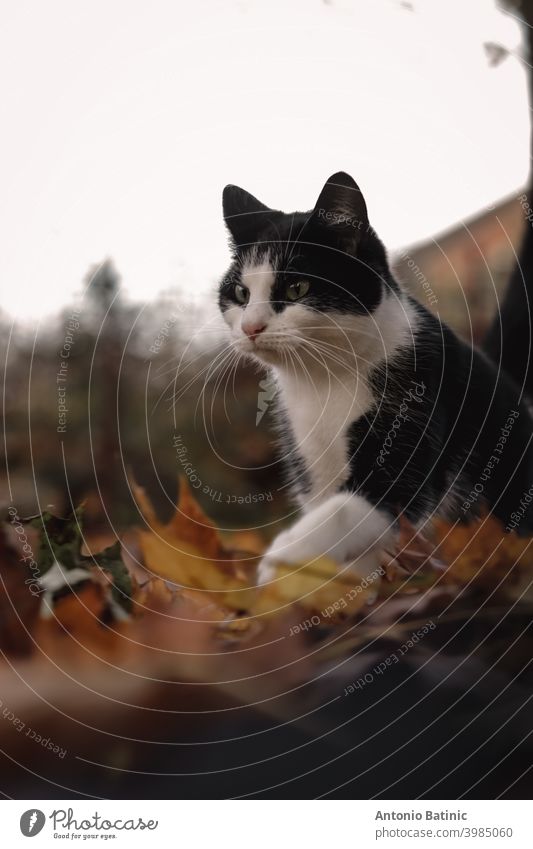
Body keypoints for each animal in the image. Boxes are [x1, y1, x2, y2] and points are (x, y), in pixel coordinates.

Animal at [217, 172, 532, 584]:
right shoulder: (310, 464)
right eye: (240, 293)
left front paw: (282, 562)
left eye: (297, 288)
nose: (250, 327)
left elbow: (353, 508)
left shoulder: (414, 410)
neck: (322, 382)